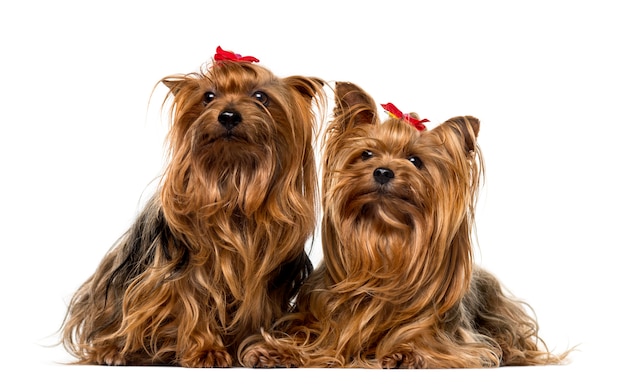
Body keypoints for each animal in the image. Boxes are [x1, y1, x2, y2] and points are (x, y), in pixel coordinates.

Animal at [59, 45, 324, 366]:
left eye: (261, 96)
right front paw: (206, 351)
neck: (233, 176)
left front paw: (255, 349)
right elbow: (192, 304)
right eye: (208, 96)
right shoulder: (185, 272)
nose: (228, 115)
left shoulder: (265, 279)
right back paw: (111, 350)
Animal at [240, 80, 572, 366]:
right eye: (366, 154)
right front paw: (274, 352)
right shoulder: (320, 322)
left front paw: (407, 353)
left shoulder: (442, 334)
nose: (383, 171)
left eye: (415, 161)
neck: (383, 236)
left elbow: (432, 345)